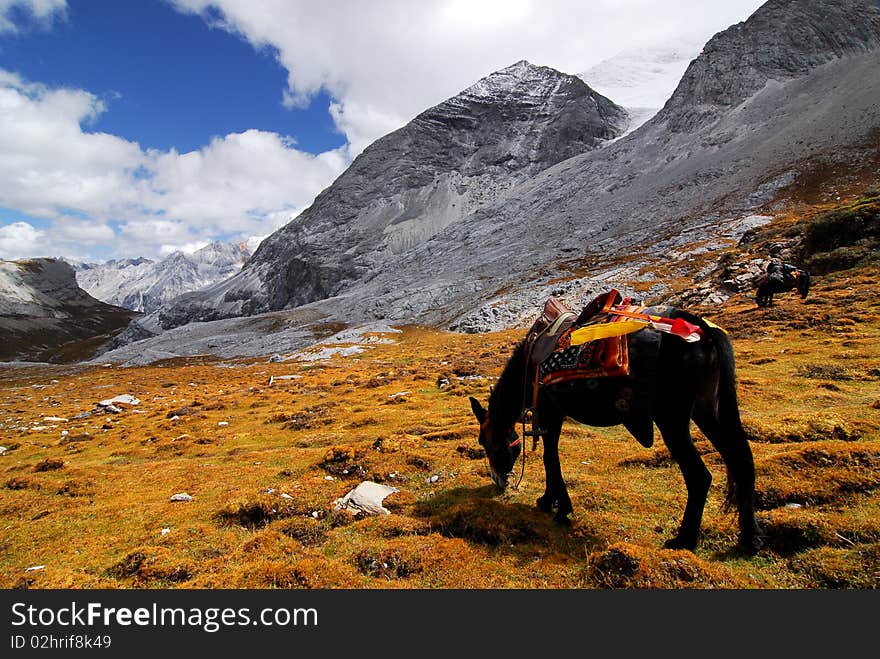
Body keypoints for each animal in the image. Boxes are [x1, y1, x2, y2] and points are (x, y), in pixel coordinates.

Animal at [470, 298, 760, 552]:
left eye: (485, 442)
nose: (498, 482)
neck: (528, 365)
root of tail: (703, 328)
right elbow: (549, 456)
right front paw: (548, 501)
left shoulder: (551, 410)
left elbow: (550, 457)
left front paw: (560, 508)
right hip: (708, 410)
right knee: (742, 461)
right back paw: (750, 539)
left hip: (672, 417)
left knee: (699, 475)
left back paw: (683, 540)